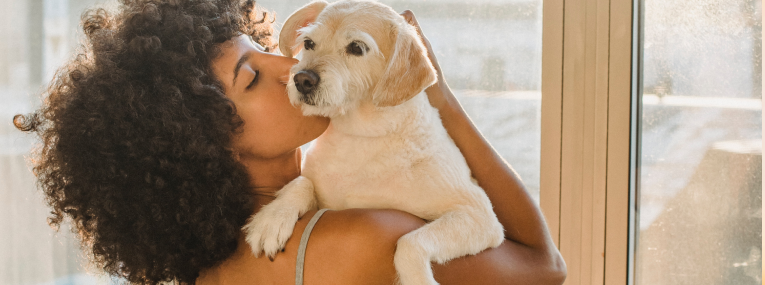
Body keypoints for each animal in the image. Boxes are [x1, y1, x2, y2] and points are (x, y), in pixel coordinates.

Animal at [245, 1, 504, 282]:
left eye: (357, 48)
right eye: (309, 43)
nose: (302, 79)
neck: (361, 136)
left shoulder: (478, 214)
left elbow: (409, 243)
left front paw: (418, 279)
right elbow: (301, 182)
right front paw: (273, 218)